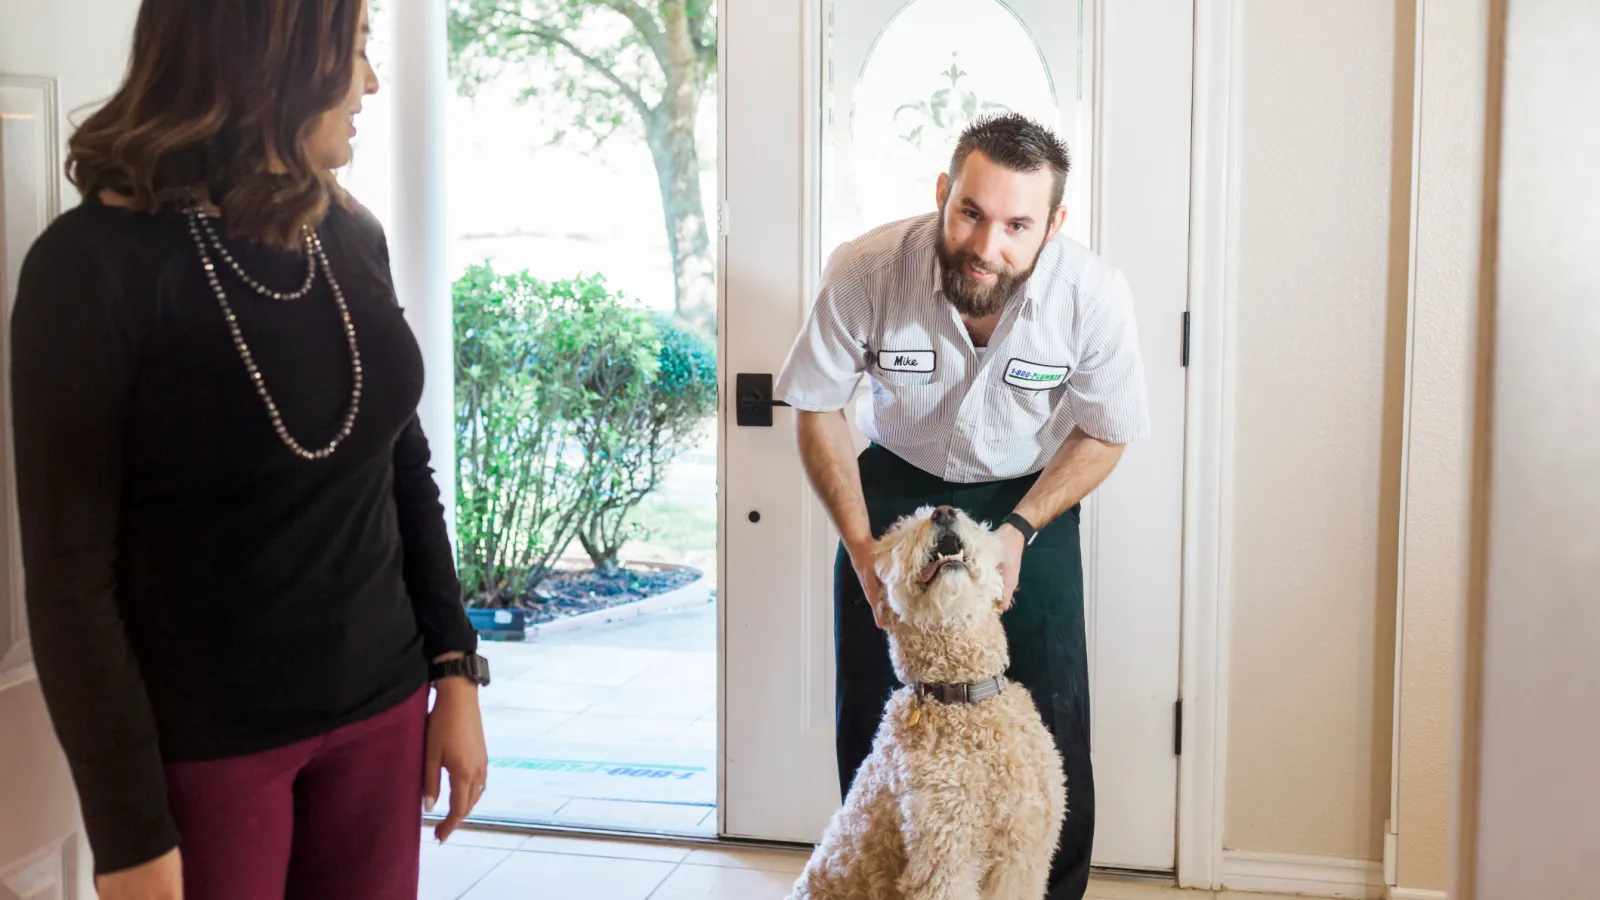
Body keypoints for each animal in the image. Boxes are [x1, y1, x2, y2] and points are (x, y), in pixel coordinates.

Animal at [784, 506, 1062, 896]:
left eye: (972, 521)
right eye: (902, 535)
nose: (944, 511)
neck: (961, 697)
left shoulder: (1023, 854)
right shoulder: (944, 859)